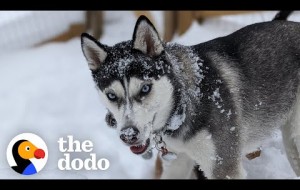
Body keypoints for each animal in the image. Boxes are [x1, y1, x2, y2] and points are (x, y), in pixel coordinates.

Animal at [81, 14, 300, 178]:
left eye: (145, 88)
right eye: (111, 95)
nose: (128, 135)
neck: (184, 104)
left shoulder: (223, 167)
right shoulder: (178, 160)